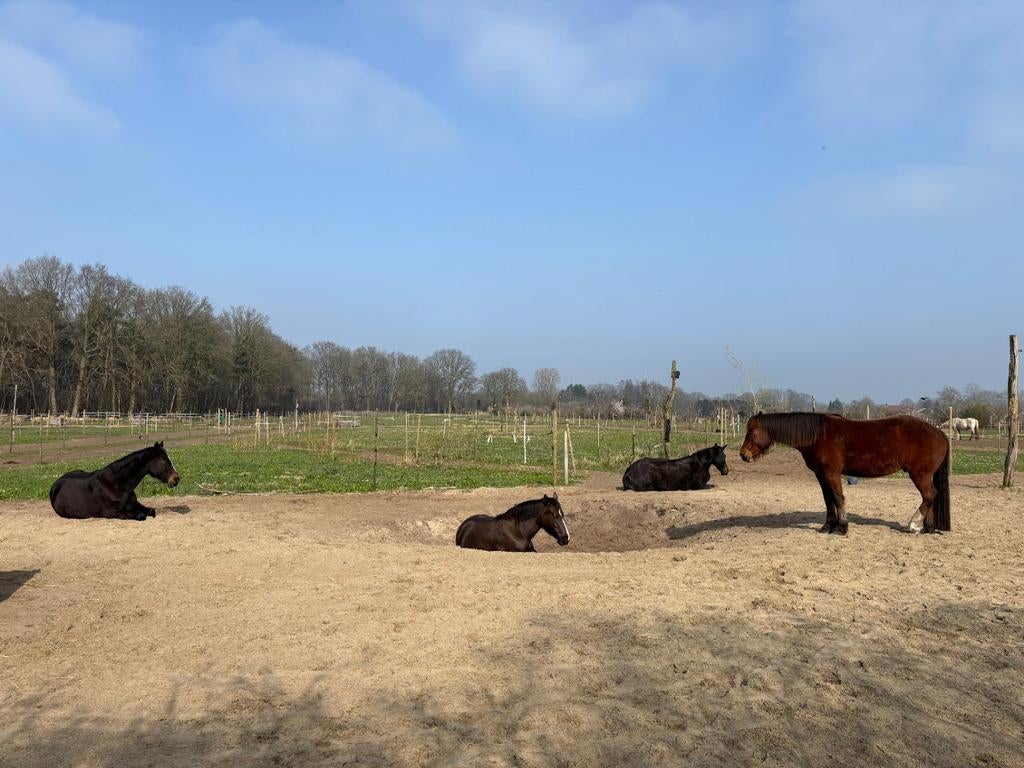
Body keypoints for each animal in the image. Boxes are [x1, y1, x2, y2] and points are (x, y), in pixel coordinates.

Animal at [50, 441, 180, 521]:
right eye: (164, 461)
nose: (176, 479)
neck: (117, 485)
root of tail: (55, 485)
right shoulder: (114, 513)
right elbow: (141, 515)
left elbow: (151, 511)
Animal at [739, 413, 950, 535]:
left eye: (751, 433)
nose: (743, 455)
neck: (819, 435)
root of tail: (939, 433)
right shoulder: (821, 475)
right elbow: (828, 500)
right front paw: (828, 526)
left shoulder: (832, 474)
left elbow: (838, 498)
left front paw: (842, 527)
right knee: (931, 497)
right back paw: (928, 528)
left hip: (919, 474)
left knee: (929, 495)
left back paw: (914, 525)